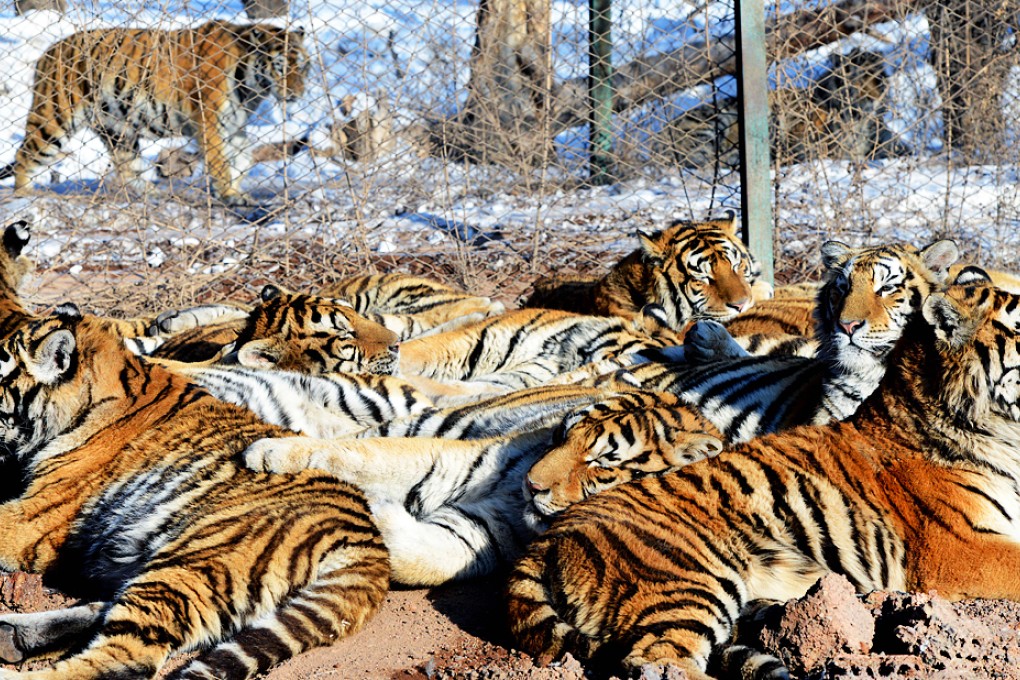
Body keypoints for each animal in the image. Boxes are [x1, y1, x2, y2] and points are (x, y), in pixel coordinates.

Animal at [0, 21, 308, 205]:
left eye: (303, 68)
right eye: (281, 68)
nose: (296, 94)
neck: (252, 85)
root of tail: (48, 52)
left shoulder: (233, 124)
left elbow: (243, 157)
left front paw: (237, 186)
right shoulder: (209, 122)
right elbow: (220, 162)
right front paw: (231, 194)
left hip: (117, 128)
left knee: (126, 167)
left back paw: (151, 192)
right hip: (54, 119)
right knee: (24, 156)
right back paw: (24, 195)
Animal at [243, 388, 723, 586]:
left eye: (601, 462)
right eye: (563, 435)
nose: (532, 485)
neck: (520, 512)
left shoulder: (480, 533)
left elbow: (429, 558)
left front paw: (379, 512)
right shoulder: (449, 458)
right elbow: (362, 456)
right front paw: (269, 452)